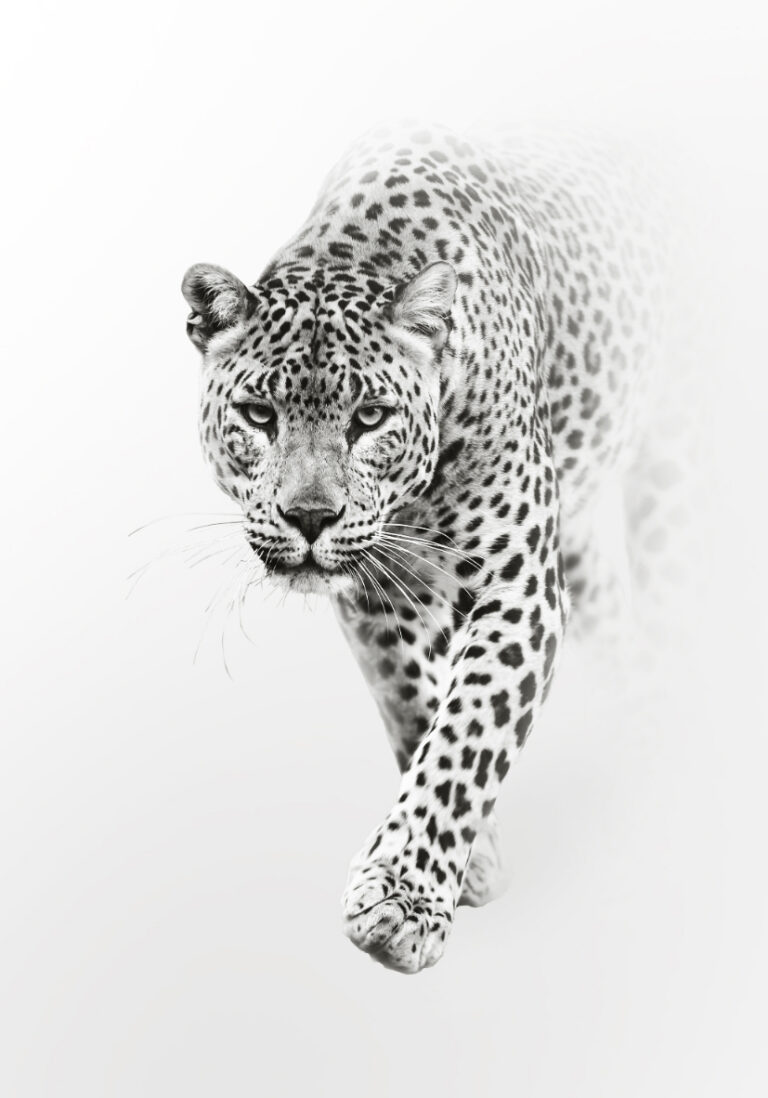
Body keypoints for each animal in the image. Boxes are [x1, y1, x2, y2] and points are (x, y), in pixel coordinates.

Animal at [180, 123, 670, 973]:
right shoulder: (378, 598)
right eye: (259, 414)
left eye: (371, 417)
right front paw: (470, 864)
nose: (310, 516)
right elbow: (414, 707)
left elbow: (469, 730)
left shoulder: (519, 592)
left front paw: (404, 899)